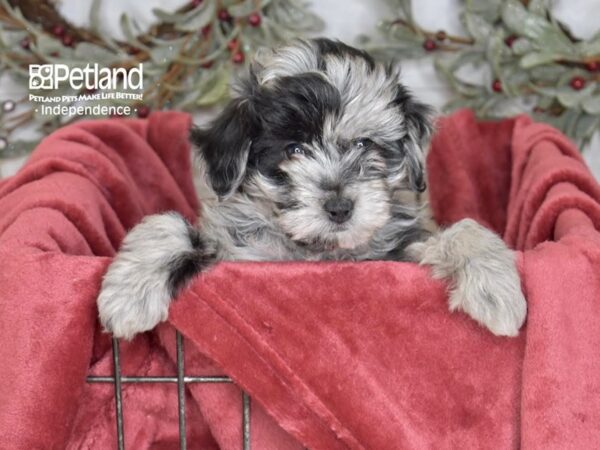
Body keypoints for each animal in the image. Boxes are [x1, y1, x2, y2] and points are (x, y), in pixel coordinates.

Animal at [97, 39, 524, 342]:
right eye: (294, 150)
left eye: (364, 144)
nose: (339, 207)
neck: (316, 250)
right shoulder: (237, 253)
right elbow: (166, 226)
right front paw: (127, 295)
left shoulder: (397, 254)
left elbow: (462, 231)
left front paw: (496, 289)